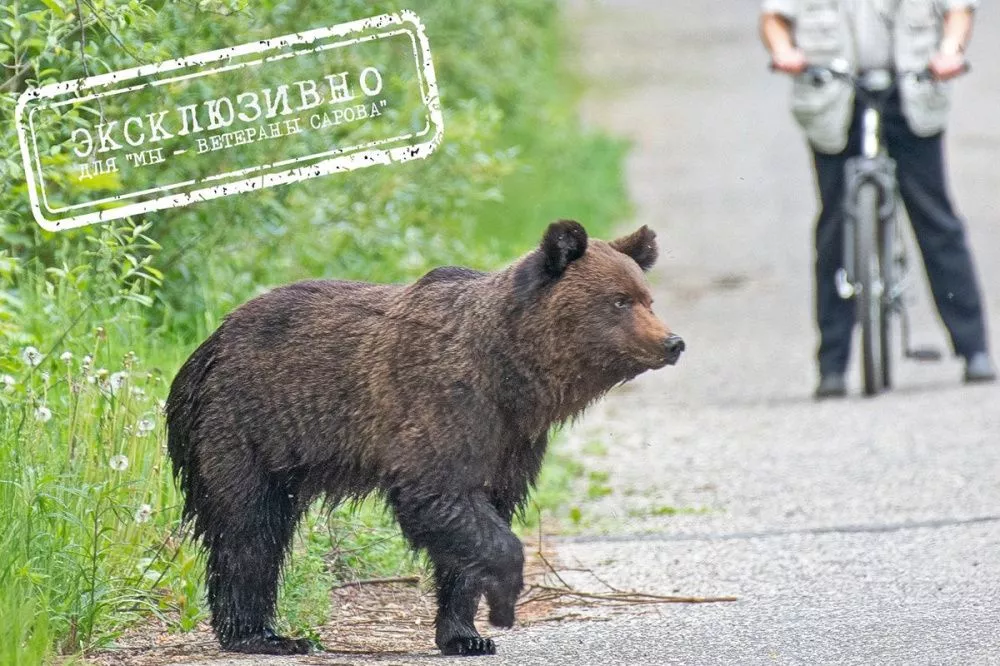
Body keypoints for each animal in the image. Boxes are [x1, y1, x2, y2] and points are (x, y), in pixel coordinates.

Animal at [166, 219, 680, 652]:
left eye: (647, 298)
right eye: (620, 300)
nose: (672, 342)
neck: (510, 376)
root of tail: (207, 344)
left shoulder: (511, 441)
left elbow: (476, 520)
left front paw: (465, 635)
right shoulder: (440, 405)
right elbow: (440, 496)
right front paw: (503, 599)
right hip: (245, 425)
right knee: (248, 529)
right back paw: (259, 634)